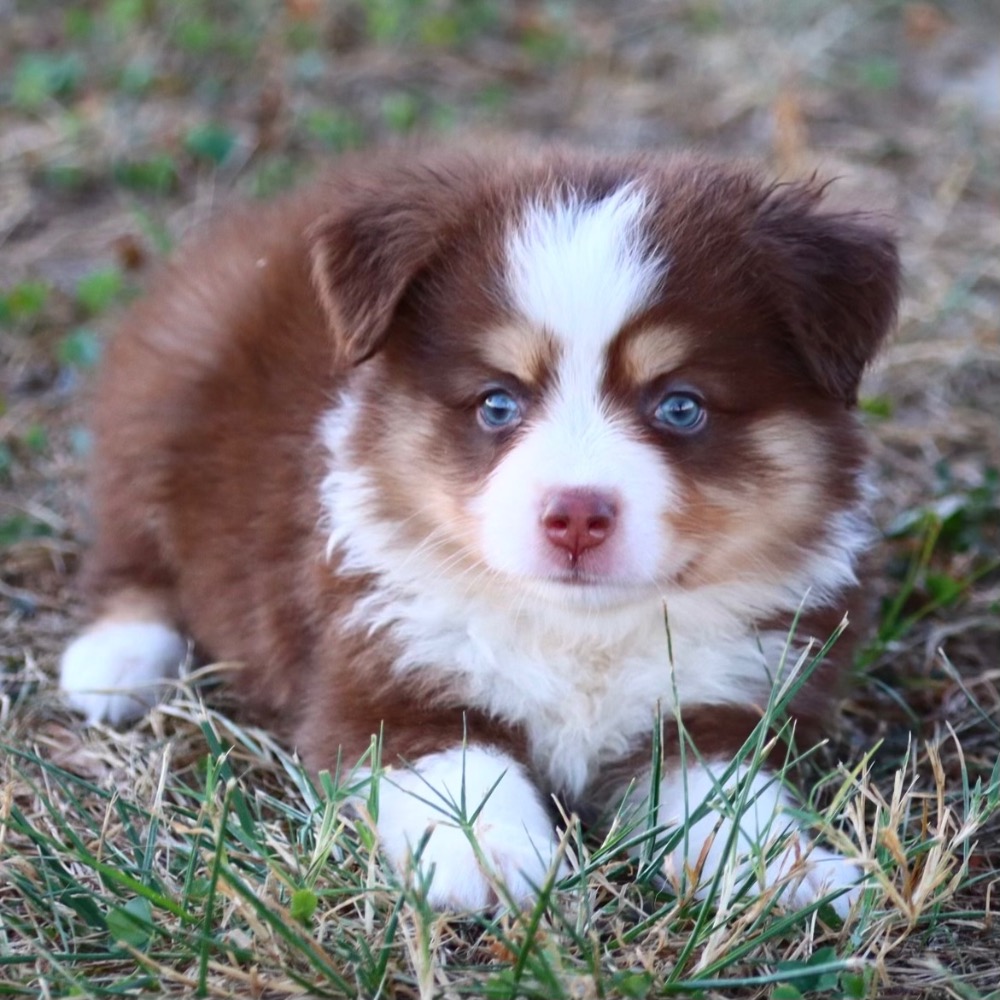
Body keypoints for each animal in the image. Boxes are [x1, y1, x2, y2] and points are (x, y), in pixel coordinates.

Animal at [58, 146, 904, 916]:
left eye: (681, 406)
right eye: (498, 403)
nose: (576, 515)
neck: (581, 631)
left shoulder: (730, 699)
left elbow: (729, 800)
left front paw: (789, 871)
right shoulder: (384, 670)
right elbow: (461, 772)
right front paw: (491, 857)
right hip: (162, 396)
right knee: (133, 552)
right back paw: (116, 661)